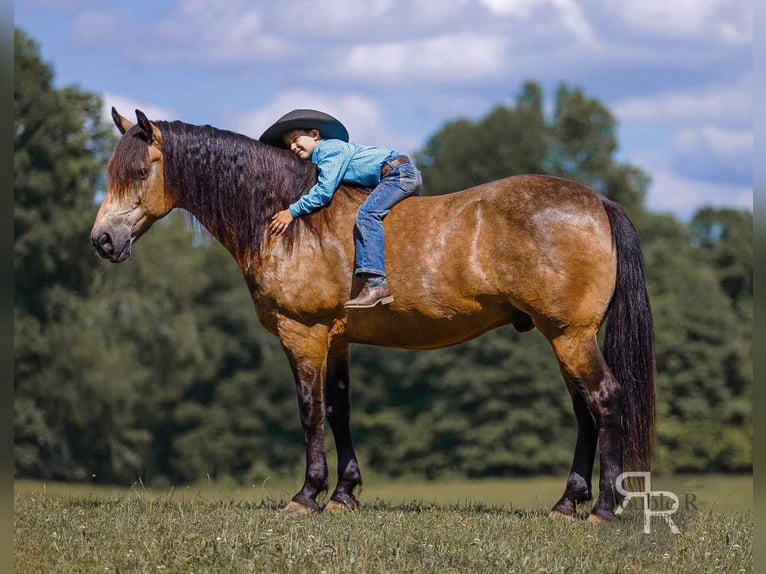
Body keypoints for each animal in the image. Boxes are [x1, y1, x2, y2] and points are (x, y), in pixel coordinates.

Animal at [90, 108, 656, 528]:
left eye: (138, 172)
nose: (102, 241)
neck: (295, 223)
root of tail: (597, 201)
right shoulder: (337, 341)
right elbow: (339, 411)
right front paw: (344, 495)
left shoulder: (303, 335)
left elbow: (310, 411)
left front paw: (307, 495)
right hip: (563, 339)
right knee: (586, 412)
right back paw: (566, 504)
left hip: (570, 338)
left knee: (606, 402)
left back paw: (604, 510)